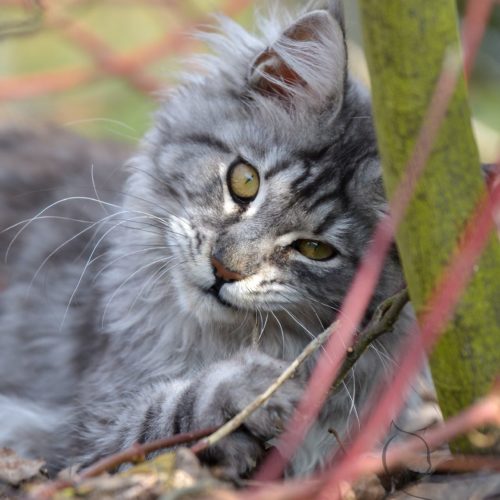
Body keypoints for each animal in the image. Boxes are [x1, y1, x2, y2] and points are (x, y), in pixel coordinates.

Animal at [0, 0, 434, 478]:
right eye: (244, 180)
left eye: (316, 249)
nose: (224, 269)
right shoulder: (83, 428)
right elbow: (157, 423)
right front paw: (247, 391)